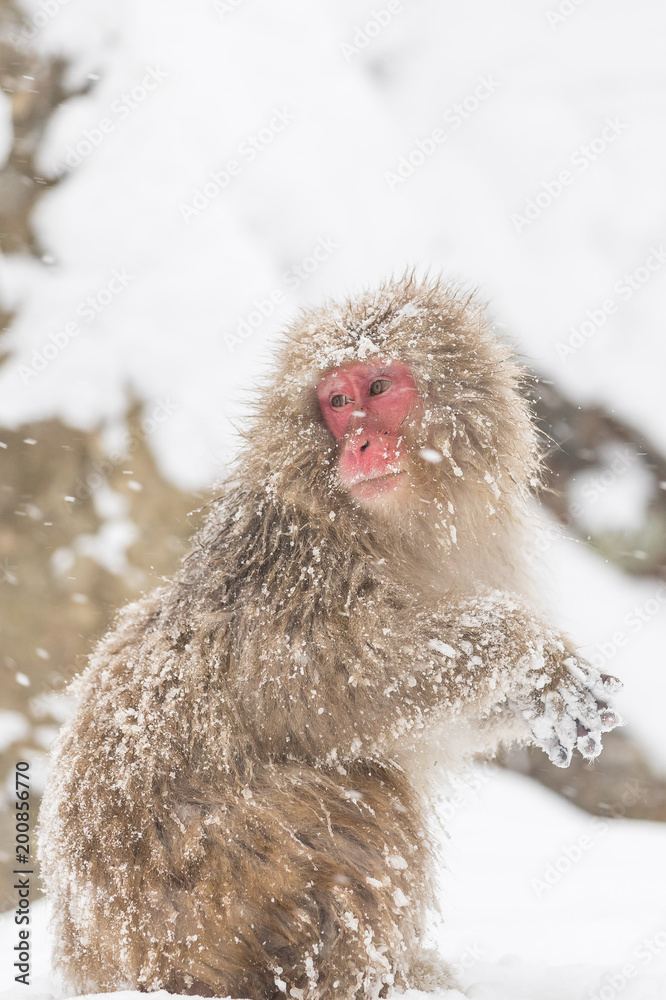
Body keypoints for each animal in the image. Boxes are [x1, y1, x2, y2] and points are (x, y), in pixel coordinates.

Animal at [40, 278, 624, 1000]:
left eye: (378, 387)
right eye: (338, 403)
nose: (361, 446)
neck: (388, 525)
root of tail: (101, 962)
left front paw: (532, 691)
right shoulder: (297, 570)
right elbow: (324, 682)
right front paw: (526, 650)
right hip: (210, 886)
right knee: (366, 795)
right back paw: (370, 980)